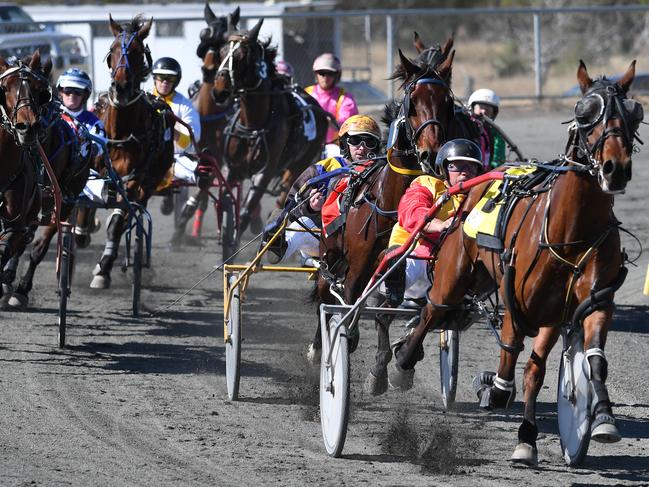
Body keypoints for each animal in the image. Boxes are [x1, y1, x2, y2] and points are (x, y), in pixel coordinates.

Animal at [85, 15, 175, 290]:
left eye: (137, 52)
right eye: (112, 49)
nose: (121, 87)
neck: (121, 134)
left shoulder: (134, 182)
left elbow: (118, 223)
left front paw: (103, 270)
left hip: (150, 182)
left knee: (128, 214)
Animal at [214, 20, 330, 237]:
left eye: (241, 55)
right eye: (222, 51)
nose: (219, 90)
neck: (253, 126)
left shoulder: (264, 172)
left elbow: (244, 212)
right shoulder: (231, 168)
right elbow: (226, 200)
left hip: (299, 164)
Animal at [392, 60, 640, 466]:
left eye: (635, 112)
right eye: (584, 112)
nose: (614, 168)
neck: (569, 230)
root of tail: (468, 189)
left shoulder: (582, 306)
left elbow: (574, 363)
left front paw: (599, 419)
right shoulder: (518, 303)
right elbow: (509, 361)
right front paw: (493, 389)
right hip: (452, 274)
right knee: (432, 311)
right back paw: (401, 364)